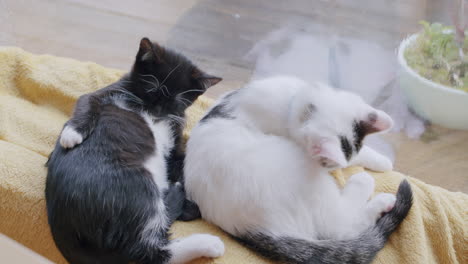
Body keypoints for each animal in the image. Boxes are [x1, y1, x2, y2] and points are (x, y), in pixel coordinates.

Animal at [45, 37, 225, 264]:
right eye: (151, 87)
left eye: (177, 101)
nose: (157, 110)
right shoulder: (105, 92)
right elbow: (87, 101)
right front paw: (72, 133)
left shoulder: (175, 138)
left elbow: (181, 161)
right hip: (137, 185)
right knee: (145, 250)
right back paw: (206, 238)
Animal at [185, 76, 412, 264]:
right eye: (326, 164)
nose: (329, 168)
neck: (294, 99)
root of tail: (248, 228)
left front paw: (381, 161)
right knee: (341, 226)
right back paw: (373, 190)